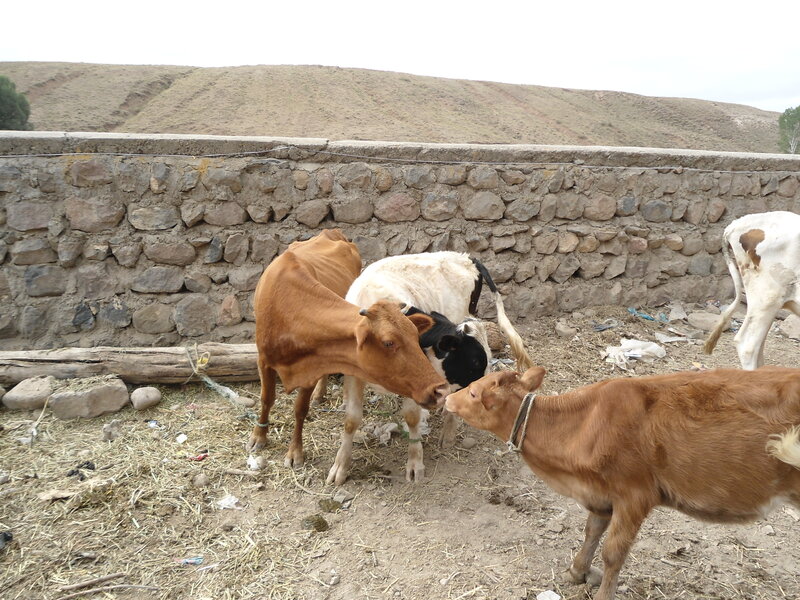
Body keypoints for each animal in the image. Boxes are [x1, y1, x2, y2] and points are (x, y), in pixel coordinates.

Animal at [246, 229, 449, 469]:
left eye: (415, 337)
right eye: (388, 342)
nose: (440, 390)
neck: (289, 309)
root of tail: (330, 232)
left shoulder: (313, 365)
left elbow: (300, 409)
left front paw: (295, 451)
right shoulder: (263, 360)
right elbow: (266, 398)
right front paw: (259, 436)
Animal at [326, 251, 534, 485]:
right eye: (474, 362)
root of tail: (465, 256)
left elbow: (412, 417)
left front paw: (415, 463)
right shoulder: (353, 374)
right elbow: (351, 420)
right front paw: (340, 466)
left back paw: (449, 432)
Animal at [445, 365, 800, 600]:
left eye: (473, 392)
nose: (447, 397)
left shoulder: (635, 494)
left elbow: (613, 552)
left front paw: (603, 593)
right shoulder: (600, 494)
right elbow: (591, 532)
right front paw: (576, 571)